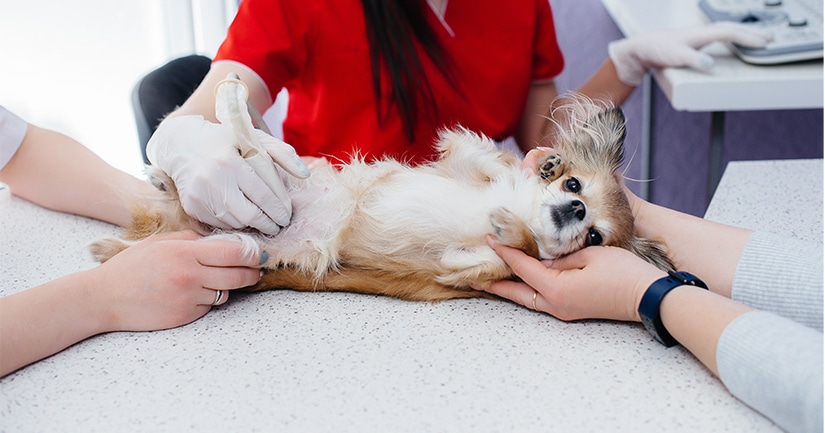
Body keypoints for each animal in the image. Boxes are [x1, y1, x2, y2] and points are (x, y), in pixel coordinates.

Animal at [90, 97, 672, 300]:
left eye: (594, 237)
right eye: (574, 186)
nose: (574, 209)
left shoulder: (455, 270)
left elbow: (502, 256)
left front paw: (516, 232)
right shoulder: (461, 156)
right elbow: (487, 155)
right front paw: (539, 165)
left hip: (241, 250)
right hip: (274, 173)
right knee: (247, 147)